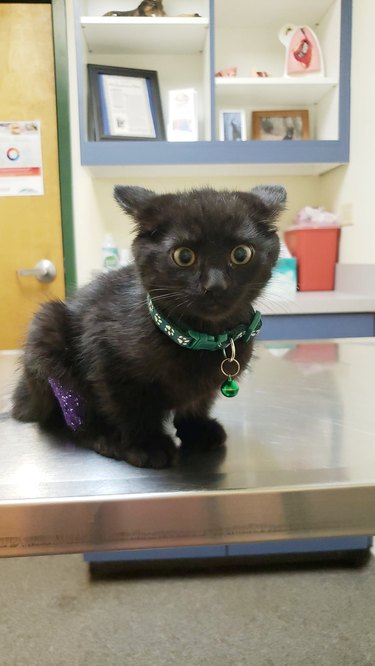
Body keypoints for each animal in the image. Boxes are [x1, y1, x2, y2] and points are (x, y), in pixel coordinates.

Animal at [12, 184, 288, 466]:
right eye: (184, 256)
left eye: (241, 254)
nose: (215, 285)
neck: (201, 339)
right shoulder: (105, 356)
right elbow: (130, 407)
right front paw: (147, 443)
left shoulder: (209, 384)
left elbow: (198, 401)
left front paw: (197, 429)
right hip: (47, 330)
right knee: (71, 416)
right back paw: (105, 438)